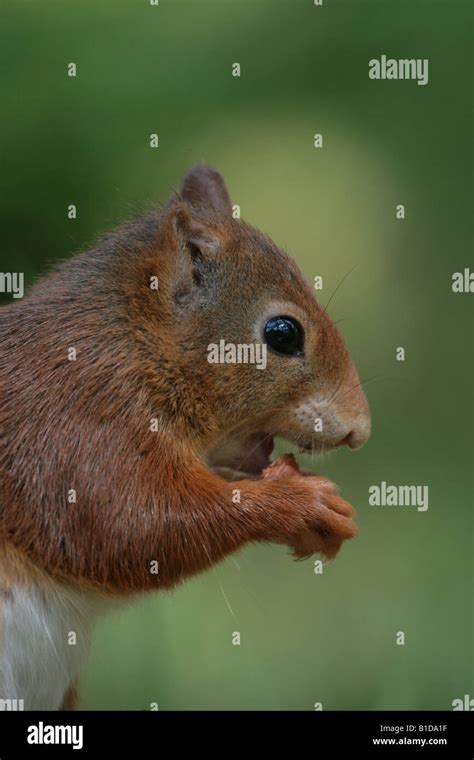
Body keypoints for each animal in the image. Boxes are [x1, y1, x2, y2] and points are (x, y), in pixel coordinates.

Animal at [0, 165, 370, 708]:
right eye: (283, 334)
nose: (360, 428)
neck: (135, 343)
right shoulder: (76, 421)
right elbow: (126, 524)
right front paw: (300, 503)